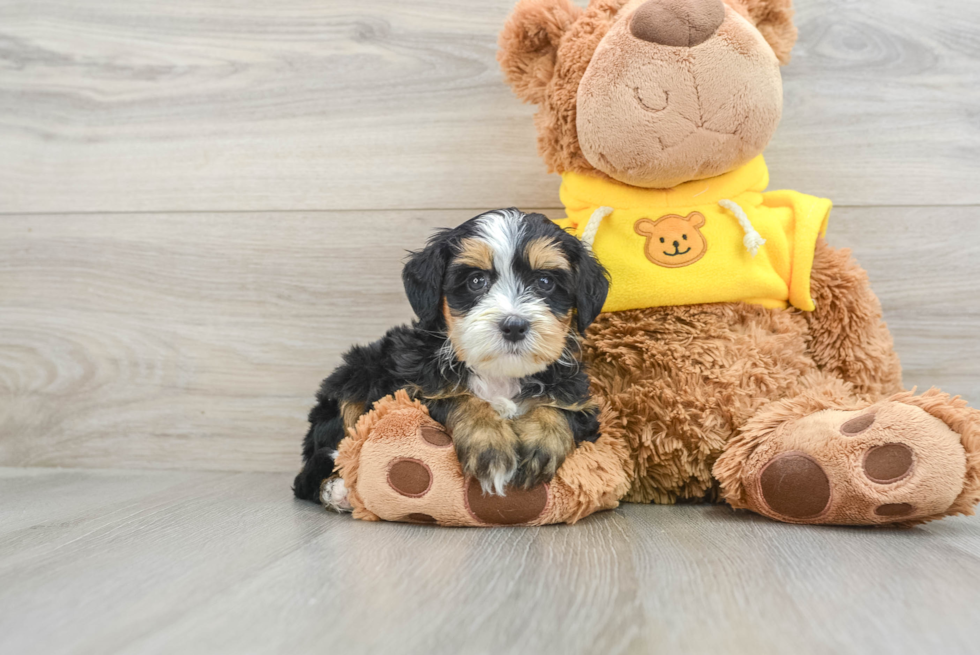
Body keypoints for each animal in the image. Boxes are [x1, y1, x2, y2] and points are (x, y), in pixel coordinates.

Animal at [290, 208, 608, 504]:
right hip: (355, 376)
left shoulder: (580, 397)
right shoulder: (412, 389)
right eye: (476, 281)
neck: (498, 373)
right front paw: (489, 444)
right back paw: (337, 490)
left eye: (544, 281)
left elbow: (558, 408)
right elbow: (460, 397)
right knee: (311, 470)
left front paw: (541, 443)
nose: (514, 326)